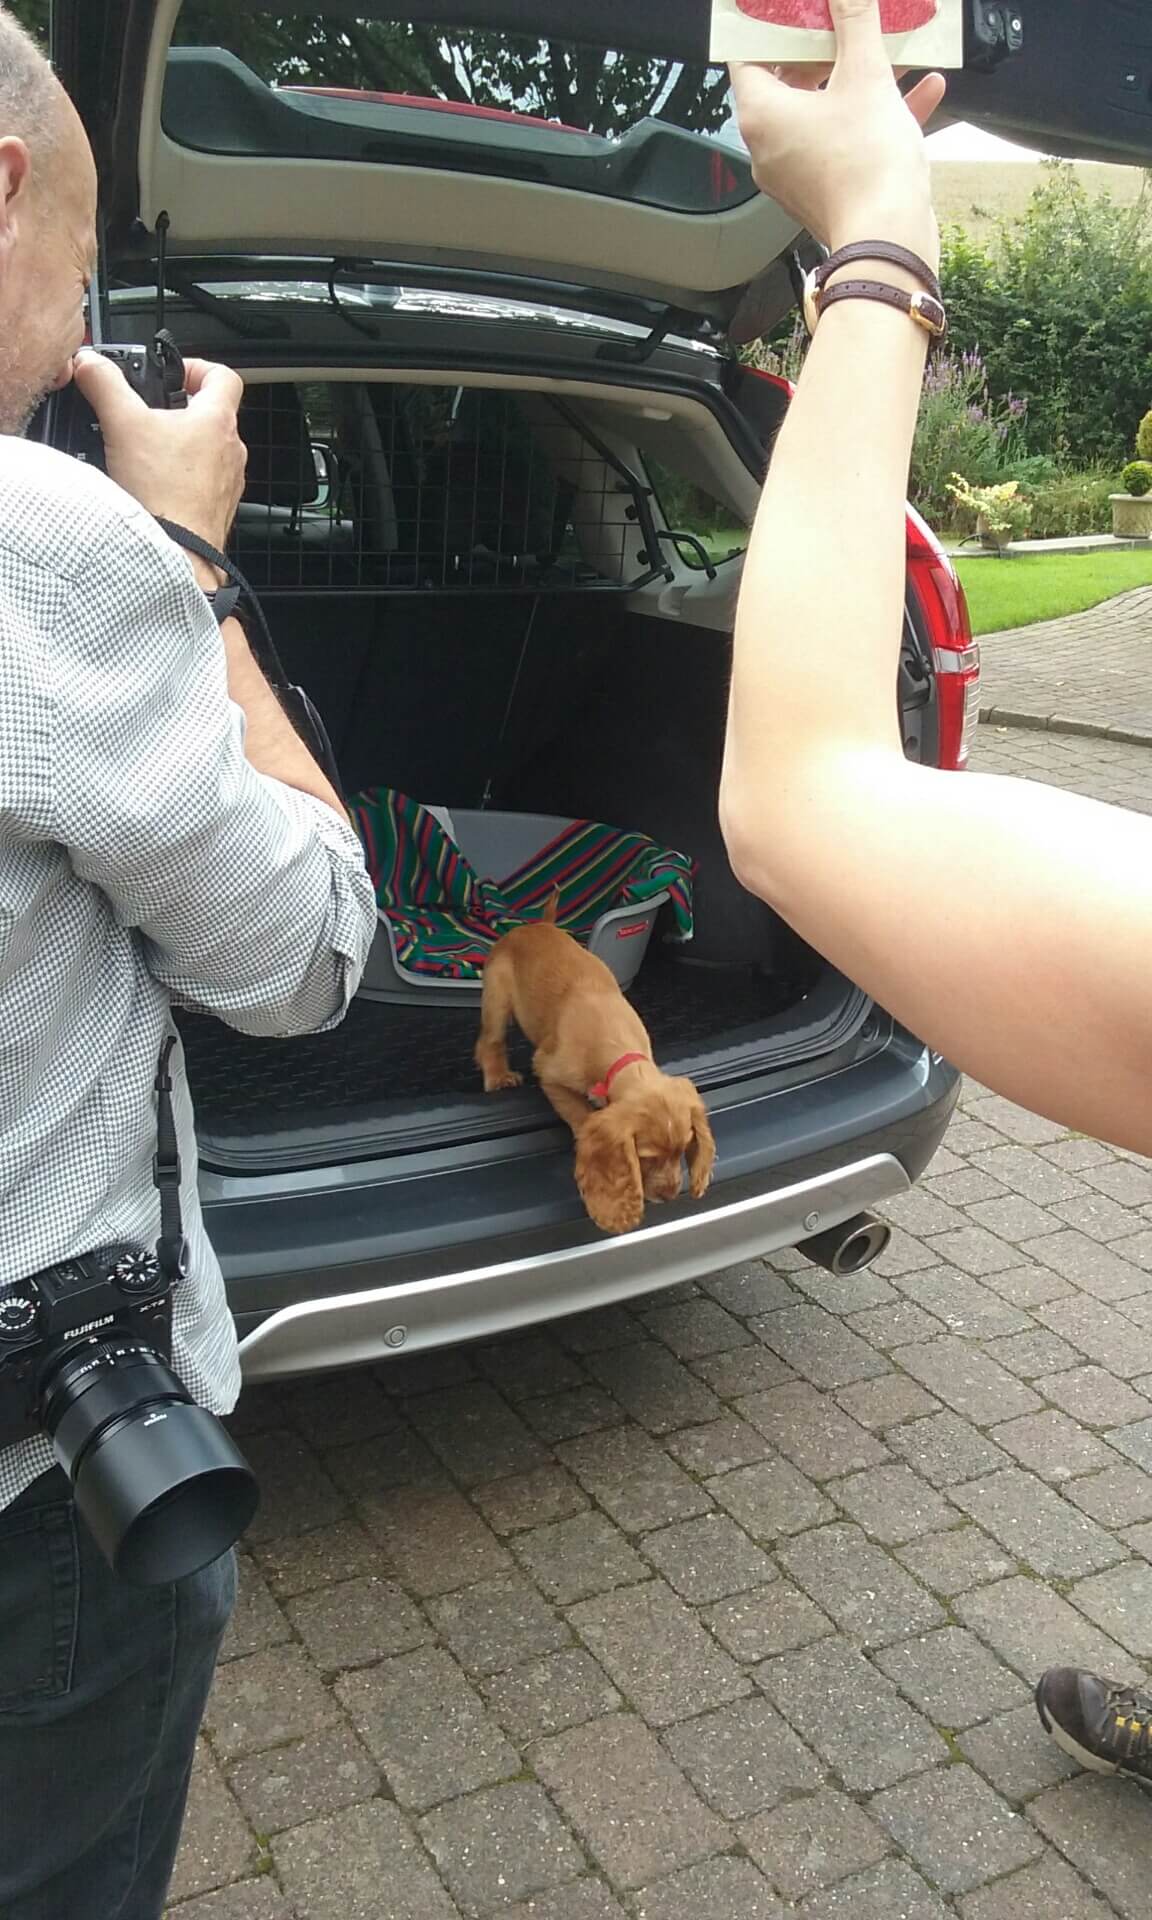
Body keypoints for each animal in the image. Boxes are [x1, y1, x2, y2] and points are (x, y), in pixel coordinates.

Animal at [474, 906, 710, 1236]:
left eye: (682, 1150)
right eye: (647, 1157)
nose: (670, 1195)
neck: (619, 1052)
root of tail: (535, 926)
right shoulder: (549, 1073)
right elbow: (580, 1114)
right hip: (497, 994)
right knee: (490, 1041)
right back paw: (498, 1077)